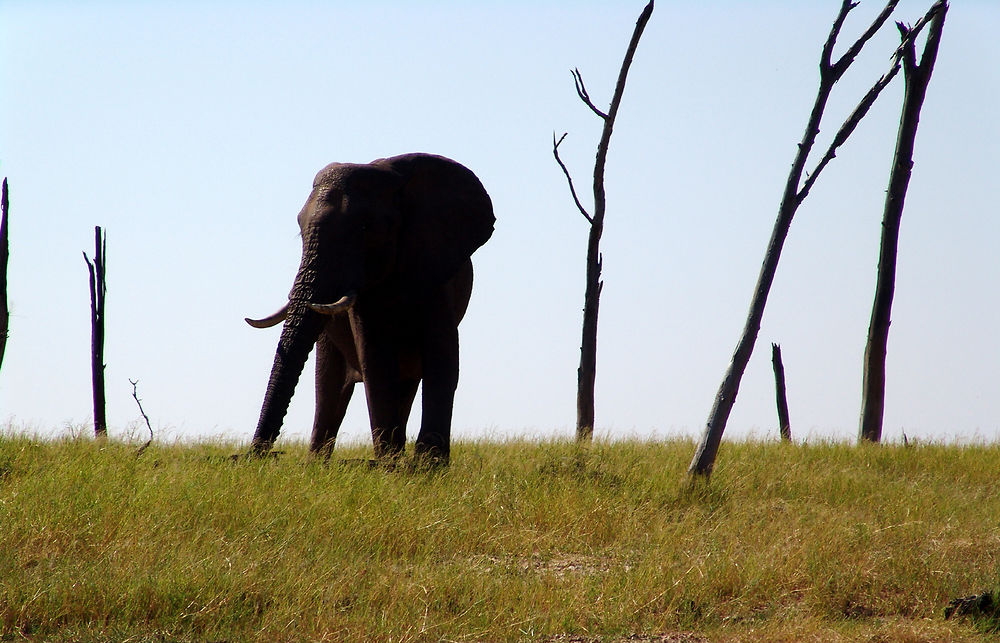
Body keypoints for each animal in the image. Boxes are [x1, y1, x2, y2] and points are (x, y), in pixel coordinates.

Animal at [247, 152, 496, 462]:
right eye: (300, 231)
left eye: (365, 229)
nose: (259, 455)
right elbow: (376, 358)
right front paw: (391, 466)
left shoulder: (437, 273)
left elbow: (443, 357)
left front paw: (428, 465)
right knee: (328, 388)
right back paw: (319, 464)